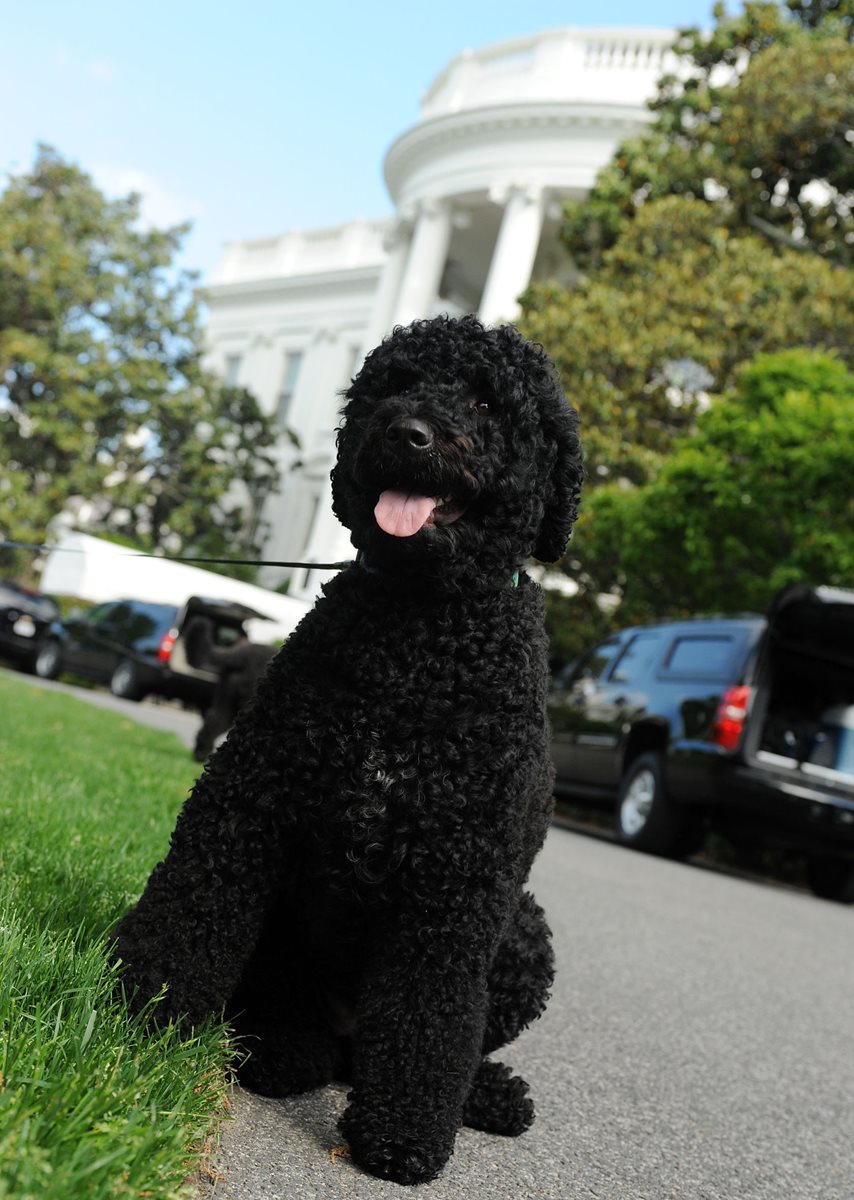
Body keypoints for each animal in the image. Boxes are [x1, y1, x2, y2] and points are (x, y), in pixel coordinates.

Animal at [111, 314, 580, 1185]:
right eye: (395, 382)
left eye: (487, 400)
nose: (408, 432)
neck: (416, 637)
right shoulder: (245, 807)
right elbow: (188, 915)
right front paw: (144, 1021)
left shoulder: (460, 886)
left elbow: (432, 1018)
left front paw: (405, 1133)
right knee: (308, 1031)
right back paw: (281, 1049)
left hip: (522, 927)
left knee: (417, 1043)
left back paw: (486, 1093)